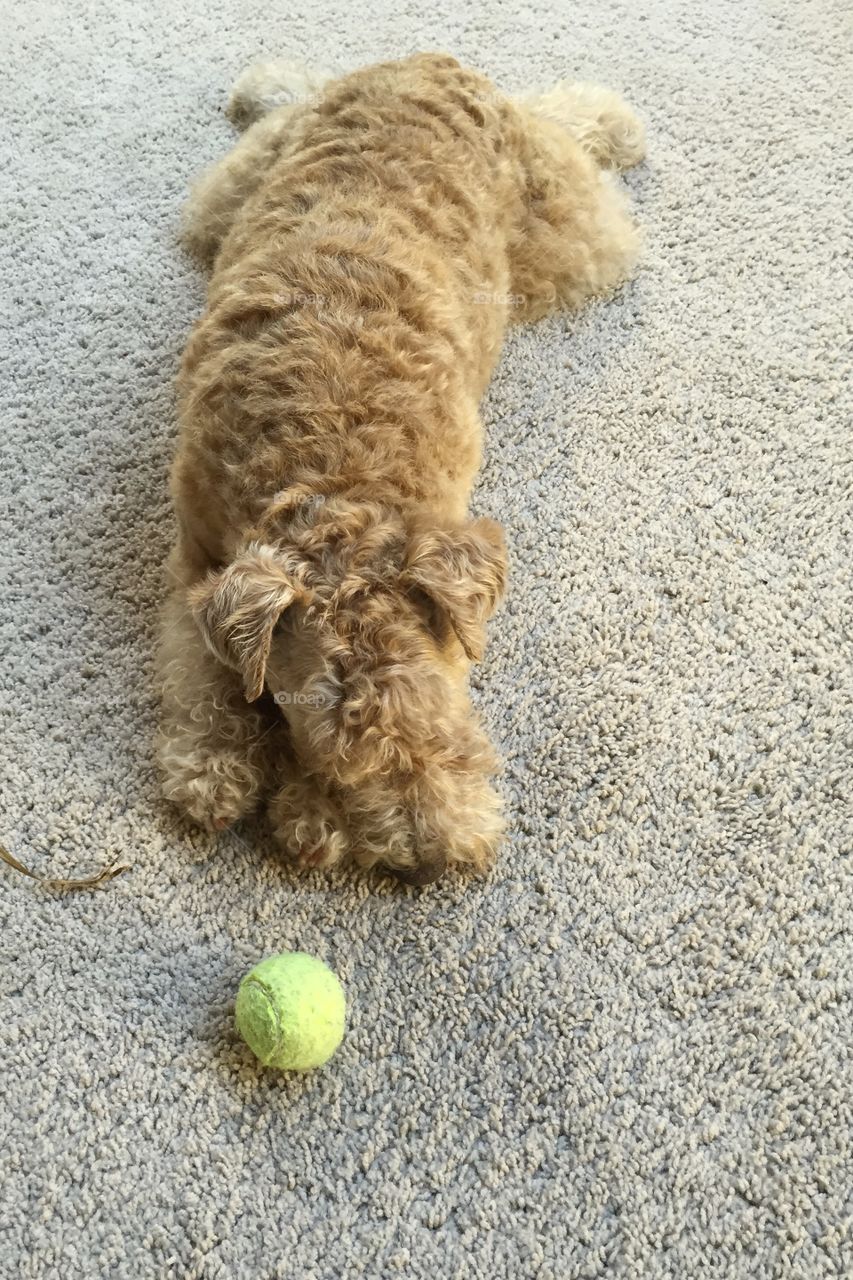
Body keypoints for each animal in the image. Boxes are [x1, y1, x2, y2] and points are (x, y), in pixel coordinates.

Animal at [157, 55, 645, 885]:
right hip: (236, 185)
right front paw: (212, 768)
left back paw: (616, 124)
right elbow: (204, 676)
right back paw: (264, 84)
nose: (437, 859)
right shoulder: (198, 562)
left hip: (573, 237)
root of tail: (432, 63)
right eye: (325, 734)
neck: (329, 479)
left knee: (566, 121)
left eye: (442, 699)